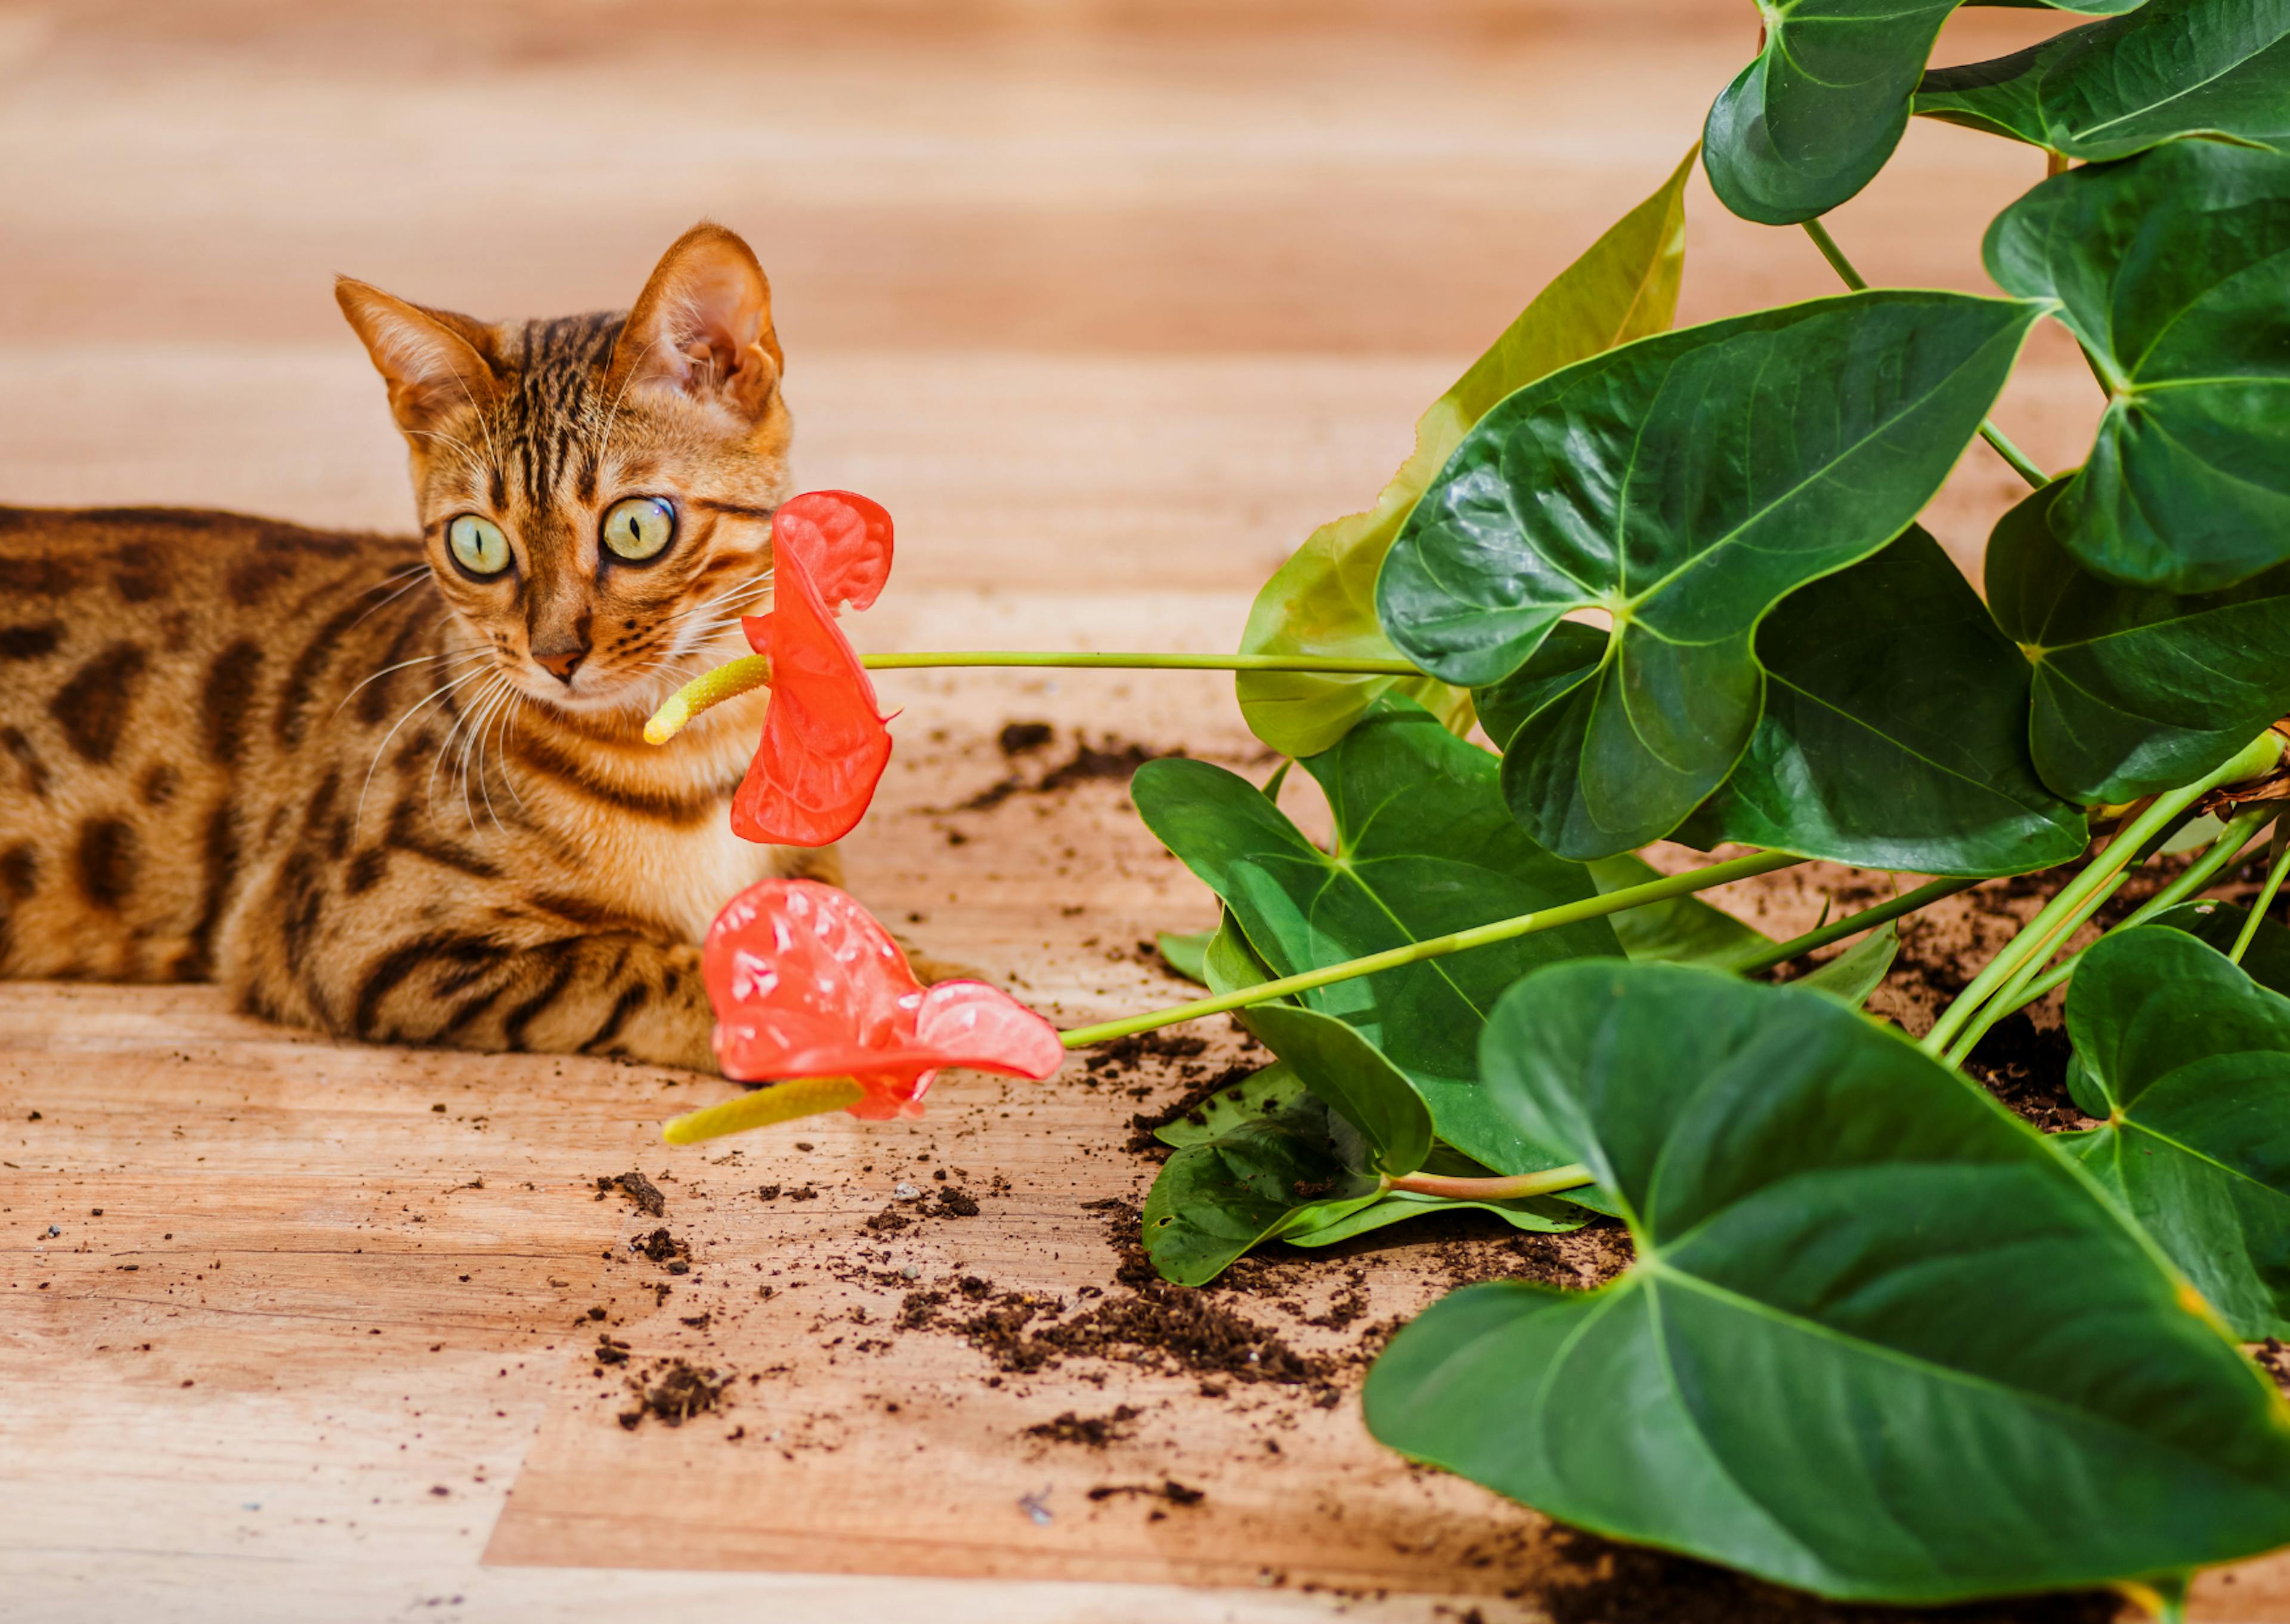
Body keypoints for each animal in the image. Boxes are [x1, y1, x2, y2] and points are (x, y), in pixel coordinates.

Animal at [0, 222, 833, 1072]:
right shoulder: (352, 938)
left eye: (637, 527)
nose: (555, 657)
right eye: (477, 544)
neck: (695, 753)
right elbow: (637, 968)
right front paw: (817, 1019)